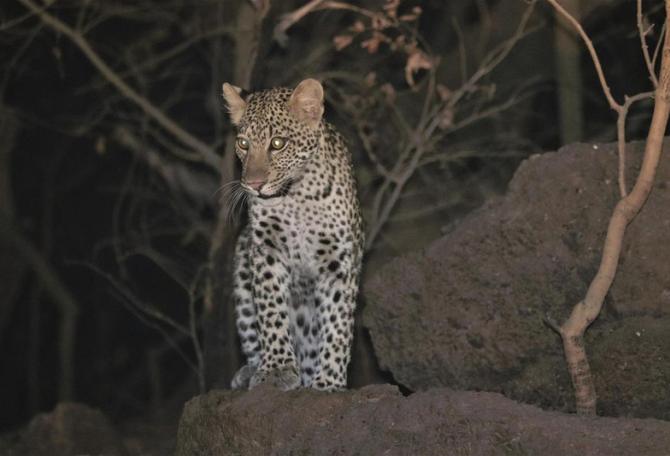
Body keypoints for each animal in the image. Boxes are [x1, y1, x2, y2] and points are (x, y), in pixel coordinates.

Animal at [222, 78, 364, 391]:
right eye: (243, 144)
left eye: (278, 143)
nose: (253, 185)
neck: (296, 195)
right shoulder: (266, 249)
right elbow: (271, 311)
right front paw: (276, 369)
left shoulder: (339, 260)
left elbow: (338, 322)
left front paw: (329, 381)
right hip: (241, 269)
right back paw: (250, 371)